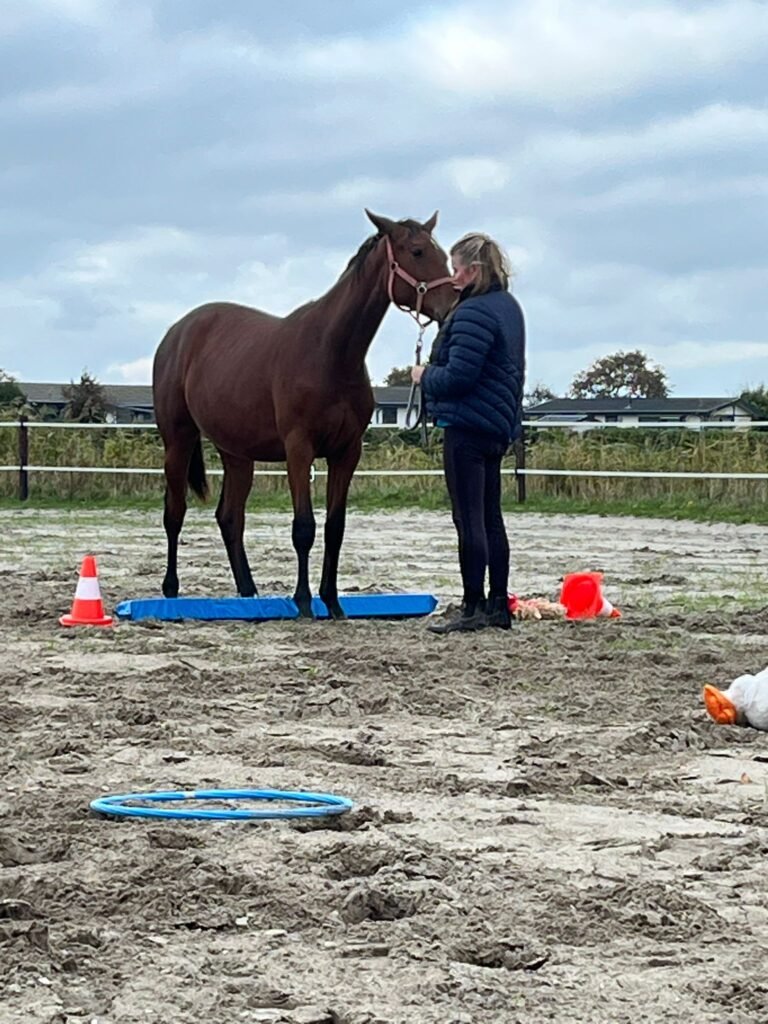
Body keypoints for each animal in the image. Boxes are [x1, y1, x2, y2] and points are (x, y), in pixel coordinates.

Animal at [152, 210, 455, 618]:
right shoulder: (299, 449)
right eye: (418, 251)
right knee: (175, 512)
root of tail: (177, 333)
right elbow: (304, 527)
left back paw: (248, 594)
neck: (331, 352)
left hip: (237, 454)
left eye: (444, 254)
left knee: (230, 517)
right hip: (178, 441)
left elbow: (335, 527)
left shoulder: (346, 452)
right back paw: (170, 591)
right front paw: (304, 601)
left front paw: (333, 601)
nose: (453, 303)